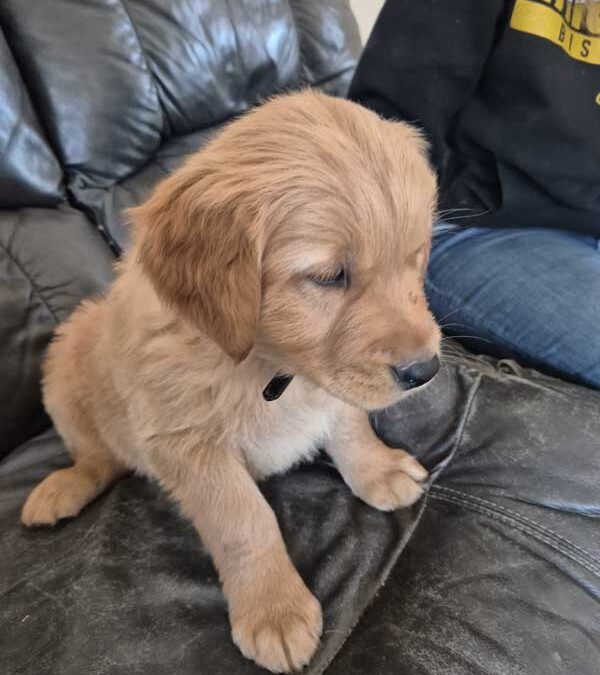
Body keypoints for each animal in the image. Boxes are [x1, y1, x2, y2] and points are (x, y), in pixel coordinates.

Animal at [21, 91, 440, 675]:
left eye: (416, 259)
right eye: (329, 276)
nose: (427, 371)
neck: (268, 367)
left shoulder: (329, 382)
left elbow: (349, 424)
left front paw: (377, 468)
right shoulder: (185, 445)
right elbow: (244, 521)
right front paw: (274, 610)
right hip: (64, 363)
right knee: (97, 456)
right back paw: (62, 487)